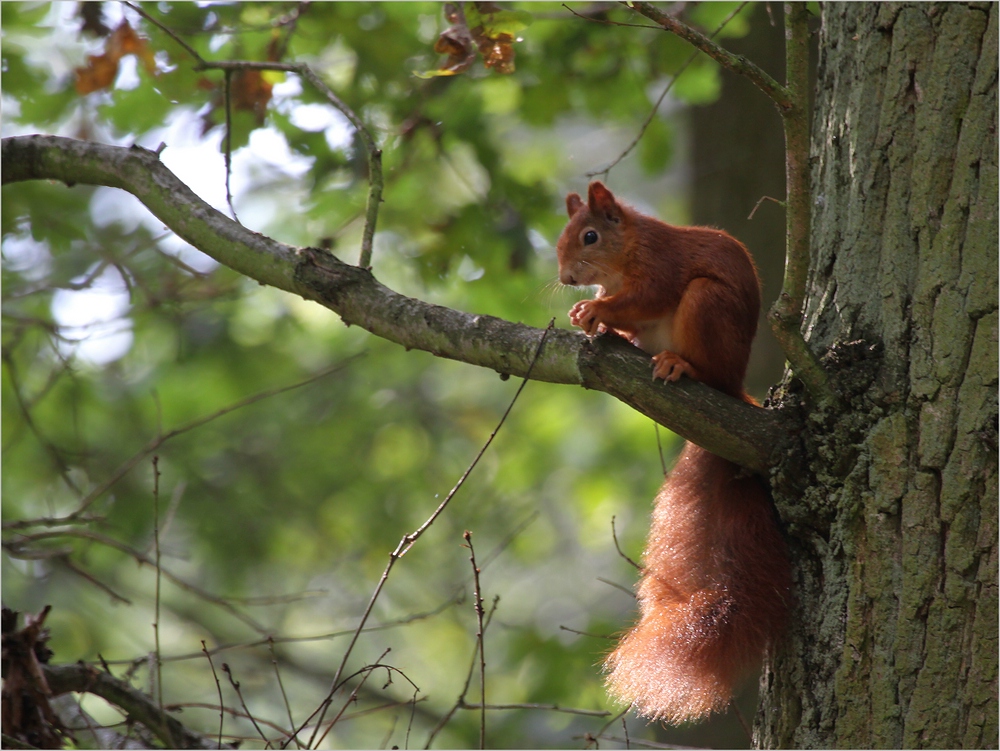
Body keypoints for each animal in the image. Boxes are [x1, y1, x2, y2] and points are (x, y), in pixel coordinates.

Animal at [556, 181, 788, 724]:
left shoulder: (661, 267)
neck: (625, 255)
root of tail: (735, 384)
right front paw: (593, 318)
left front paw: (598, 312)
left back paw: (681, 365)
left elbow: (646, 297)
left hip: (708, 306)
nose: (565, 278)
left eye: (590, 236)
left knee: (701, 357)